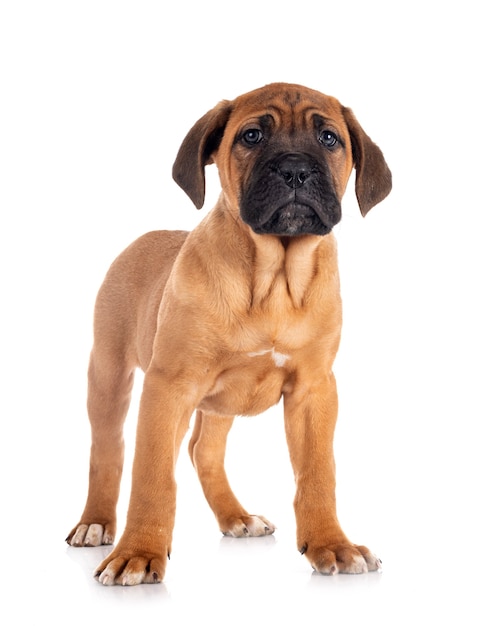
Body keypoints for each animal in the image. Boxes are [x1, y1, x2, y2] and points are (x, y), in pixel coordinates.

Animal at [69, 80, 392, 584]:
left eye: (329, 139)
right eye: (252, 135)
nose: (296, 171)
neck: (274, 278)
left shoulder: (314, 390)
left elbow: (318, 473)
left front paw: (332, 544)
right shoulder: (169, 386)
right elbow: (151, 475)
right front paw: (139, 553)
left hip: (218, 402)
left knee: (202, 449)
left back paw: (236, 516)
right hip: (108, 373)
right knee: (109, 449)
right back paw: (96, 523)